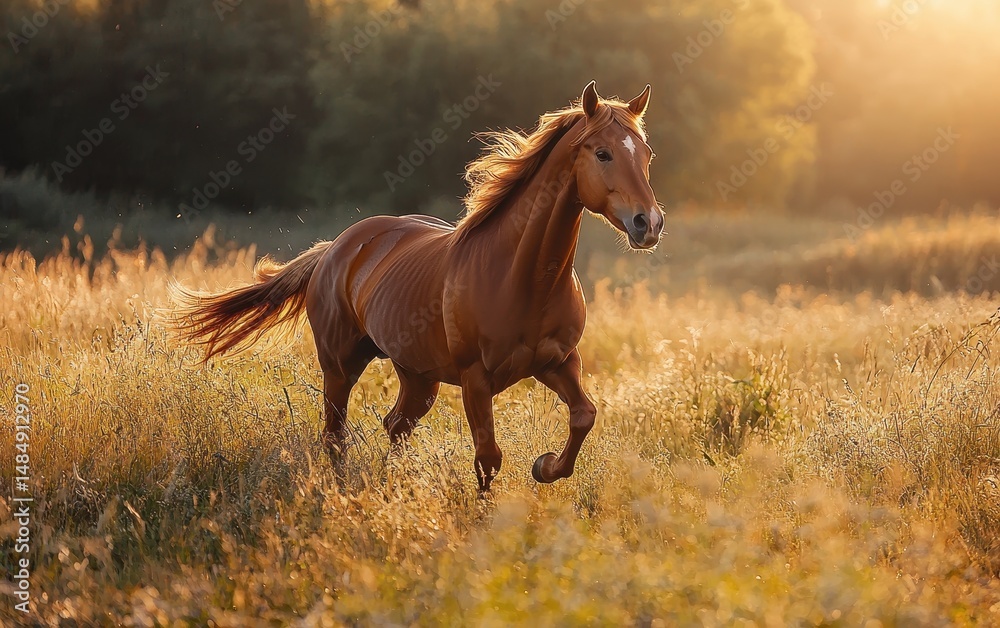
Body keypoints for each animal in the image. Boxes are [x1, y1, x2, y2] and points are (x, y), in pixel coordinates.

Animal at [175, 81, 663, 491]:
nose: (649, 223)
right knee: (335, 434)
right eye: (602, 153)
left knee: (395, 425)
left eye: (646, 155)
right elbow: (488, 457)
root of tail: (334, 249)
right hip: (340, 365)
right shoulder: (475, 379)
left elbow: (584, 416)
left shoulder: (559, 362)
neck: (520, 276)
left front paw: (545, 467)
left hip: (418, 376)